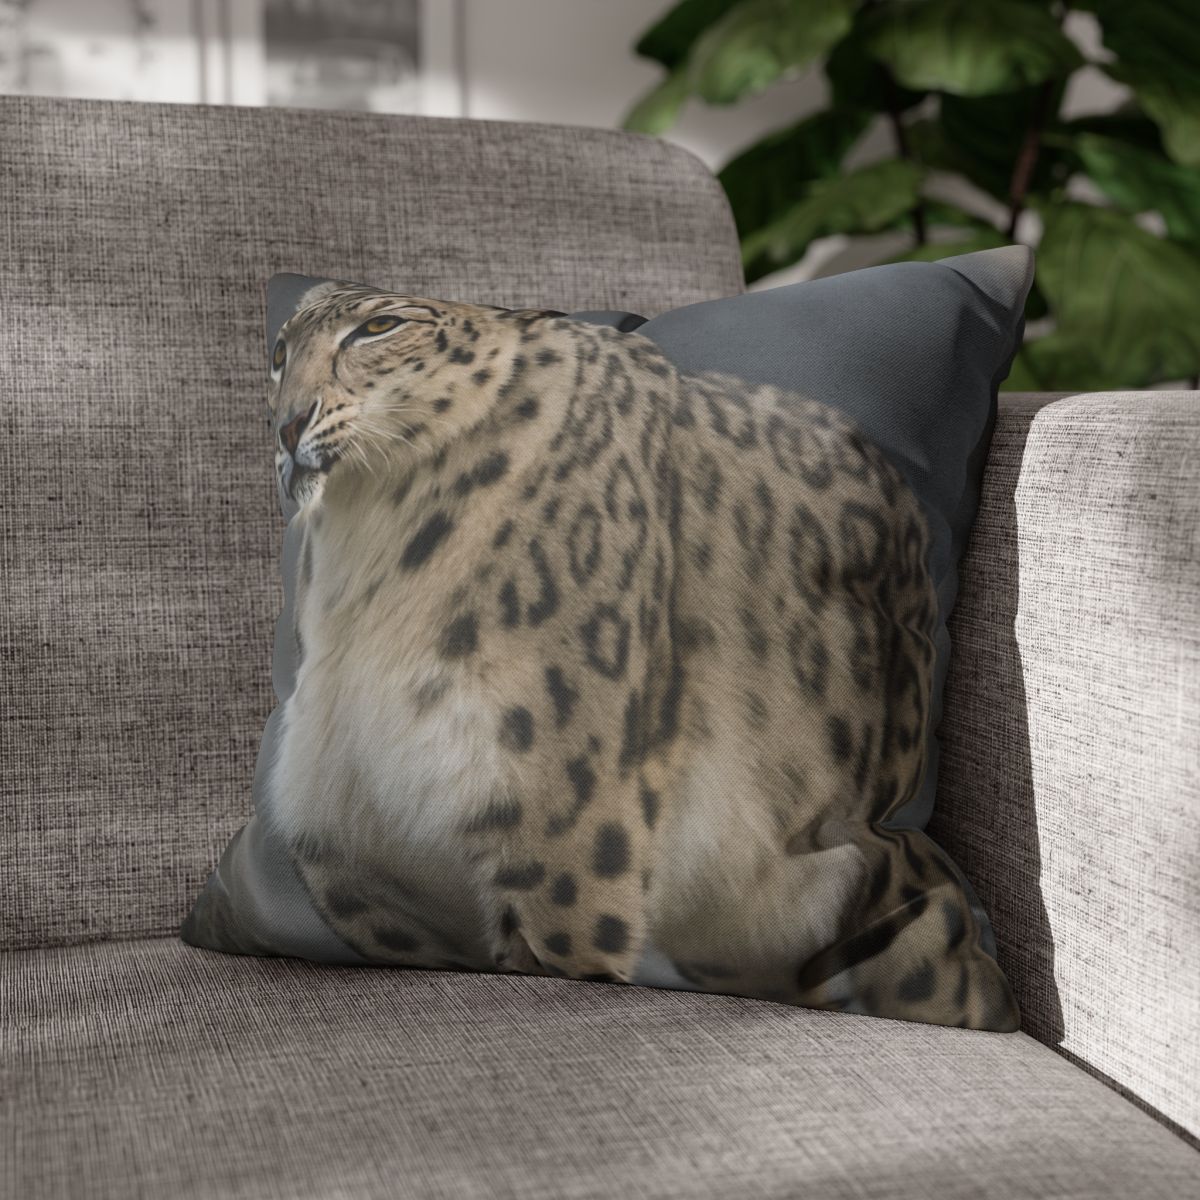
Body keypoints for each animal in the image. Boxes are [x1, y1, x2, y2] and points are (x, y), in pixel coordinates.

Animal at [261, 281, 1019, 1031]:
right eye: (278, 351)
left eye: (380, 327)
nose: (289, 425)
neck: (368, 561)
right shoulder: (354, 863)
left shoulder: (564, 834)